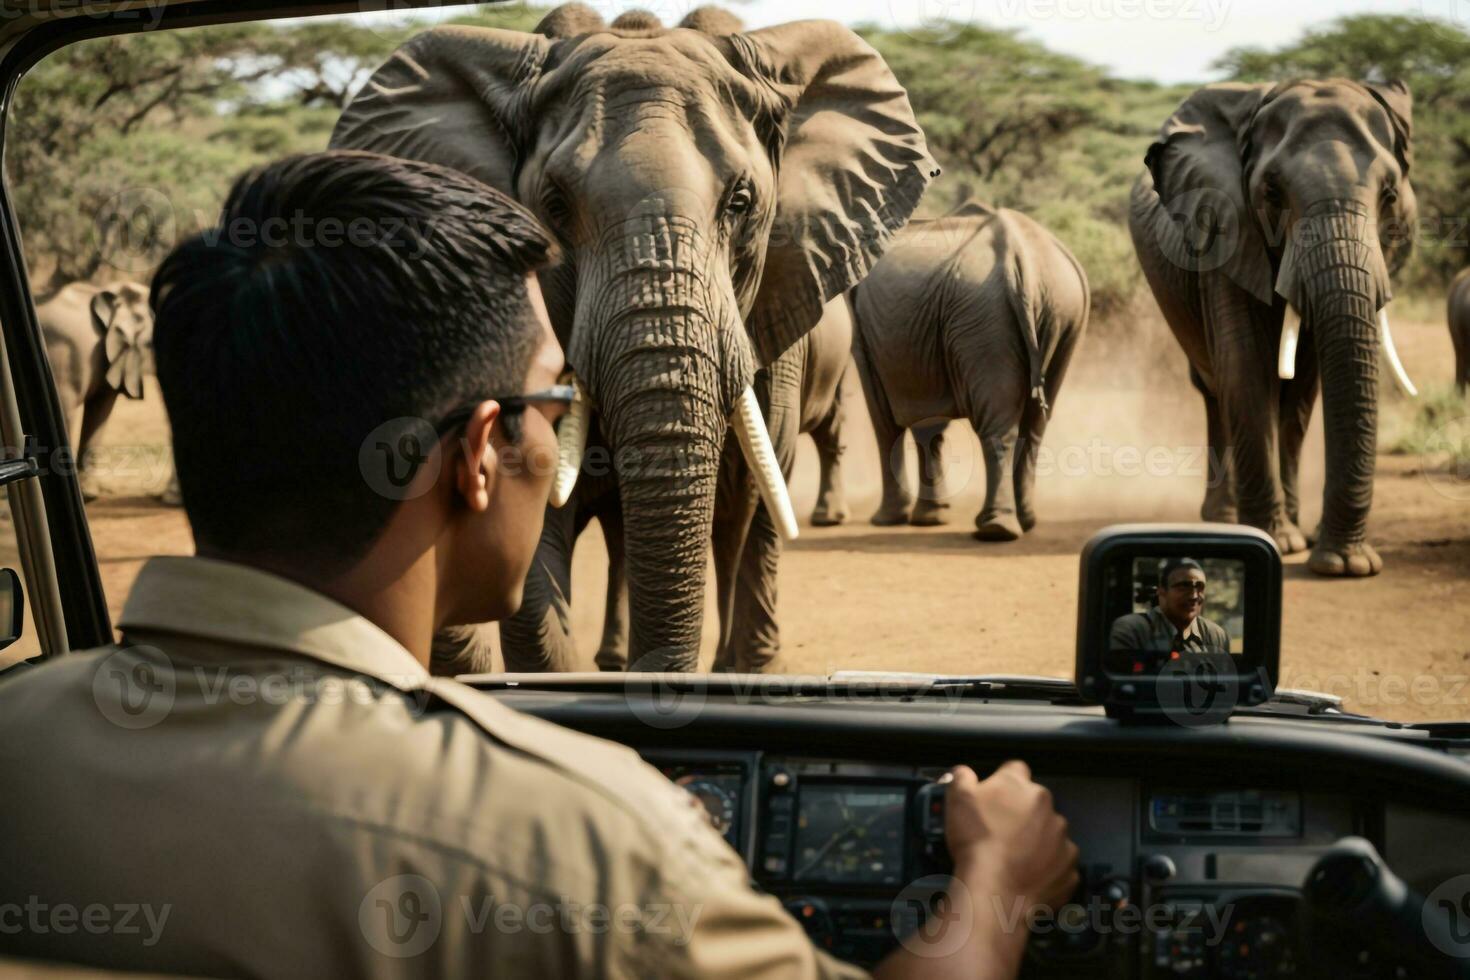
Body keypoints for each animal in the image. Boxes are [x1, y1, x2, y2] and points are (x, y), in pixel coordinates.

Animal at [37, 279, 179, 502]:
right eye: (151, 343)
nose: (167, 498)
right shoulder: (66, 353)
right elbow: (63, 411)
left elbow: (100, 410)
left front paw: (88, 494)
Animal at [852, 202, 1093, 540]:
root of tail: (1022, 255)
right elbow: (926, 417)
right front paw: (931, 519)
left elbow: (883, 416)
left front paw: (887, 521)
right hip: (1063, 314)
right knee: (1035, 425)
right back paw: (1025, 522)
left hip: (982, 318)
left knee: (998, 425)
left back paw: (995, 530)